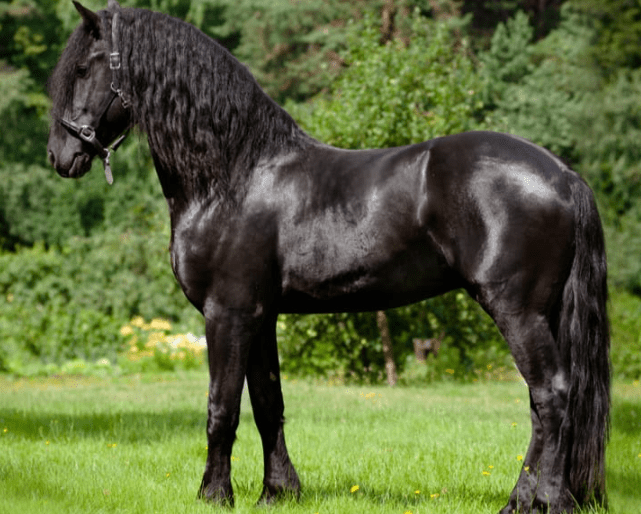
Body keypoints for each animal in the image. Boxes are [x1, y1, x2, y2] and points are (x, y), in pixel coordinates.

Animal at [46, 2, 610, 512]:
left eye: (83, 68)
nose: (59, 156)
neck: (233, 176)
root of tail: (563, 175)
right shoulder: (260, 316)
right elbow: (267, 404)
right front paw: (277, 493)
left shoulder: (227, 313)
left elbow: (221, 407)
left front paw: (214, 494)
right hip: (544, 313)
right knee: (547, 401)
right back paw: (530, 500)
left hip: (518, 311)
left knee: (552, 395)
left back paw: (541, 500)